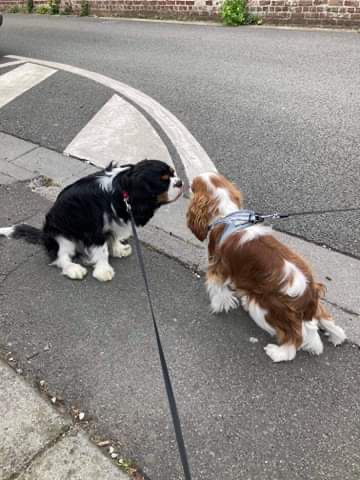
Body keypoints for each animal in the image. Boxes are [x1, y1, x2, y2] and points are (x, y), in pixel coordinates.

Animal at [0, 160, 183, 282]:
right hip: (62, 235)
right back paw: (73, 268)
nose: (180, 182)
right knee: (60, 257)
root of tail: (45, 236)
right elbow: (102, 250)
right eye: (163, 180)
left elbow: (113, 238)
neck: (121, 190)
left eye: (173, 174)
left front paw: (118, 249)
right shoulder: (94, 229)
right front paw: (103, 271)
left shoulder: (111, 224)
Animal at [186, 173, 346, 364]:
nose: (186, 183)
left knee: (295, 339)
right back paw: (336, 336)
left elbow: (219, 291)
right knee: (321, 319)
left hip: (266, 308)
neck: (228, 215)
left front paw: (219, 305)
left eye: (192, 186)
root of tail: (308, 292)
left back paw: (278, 353)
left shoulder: (217, 268)